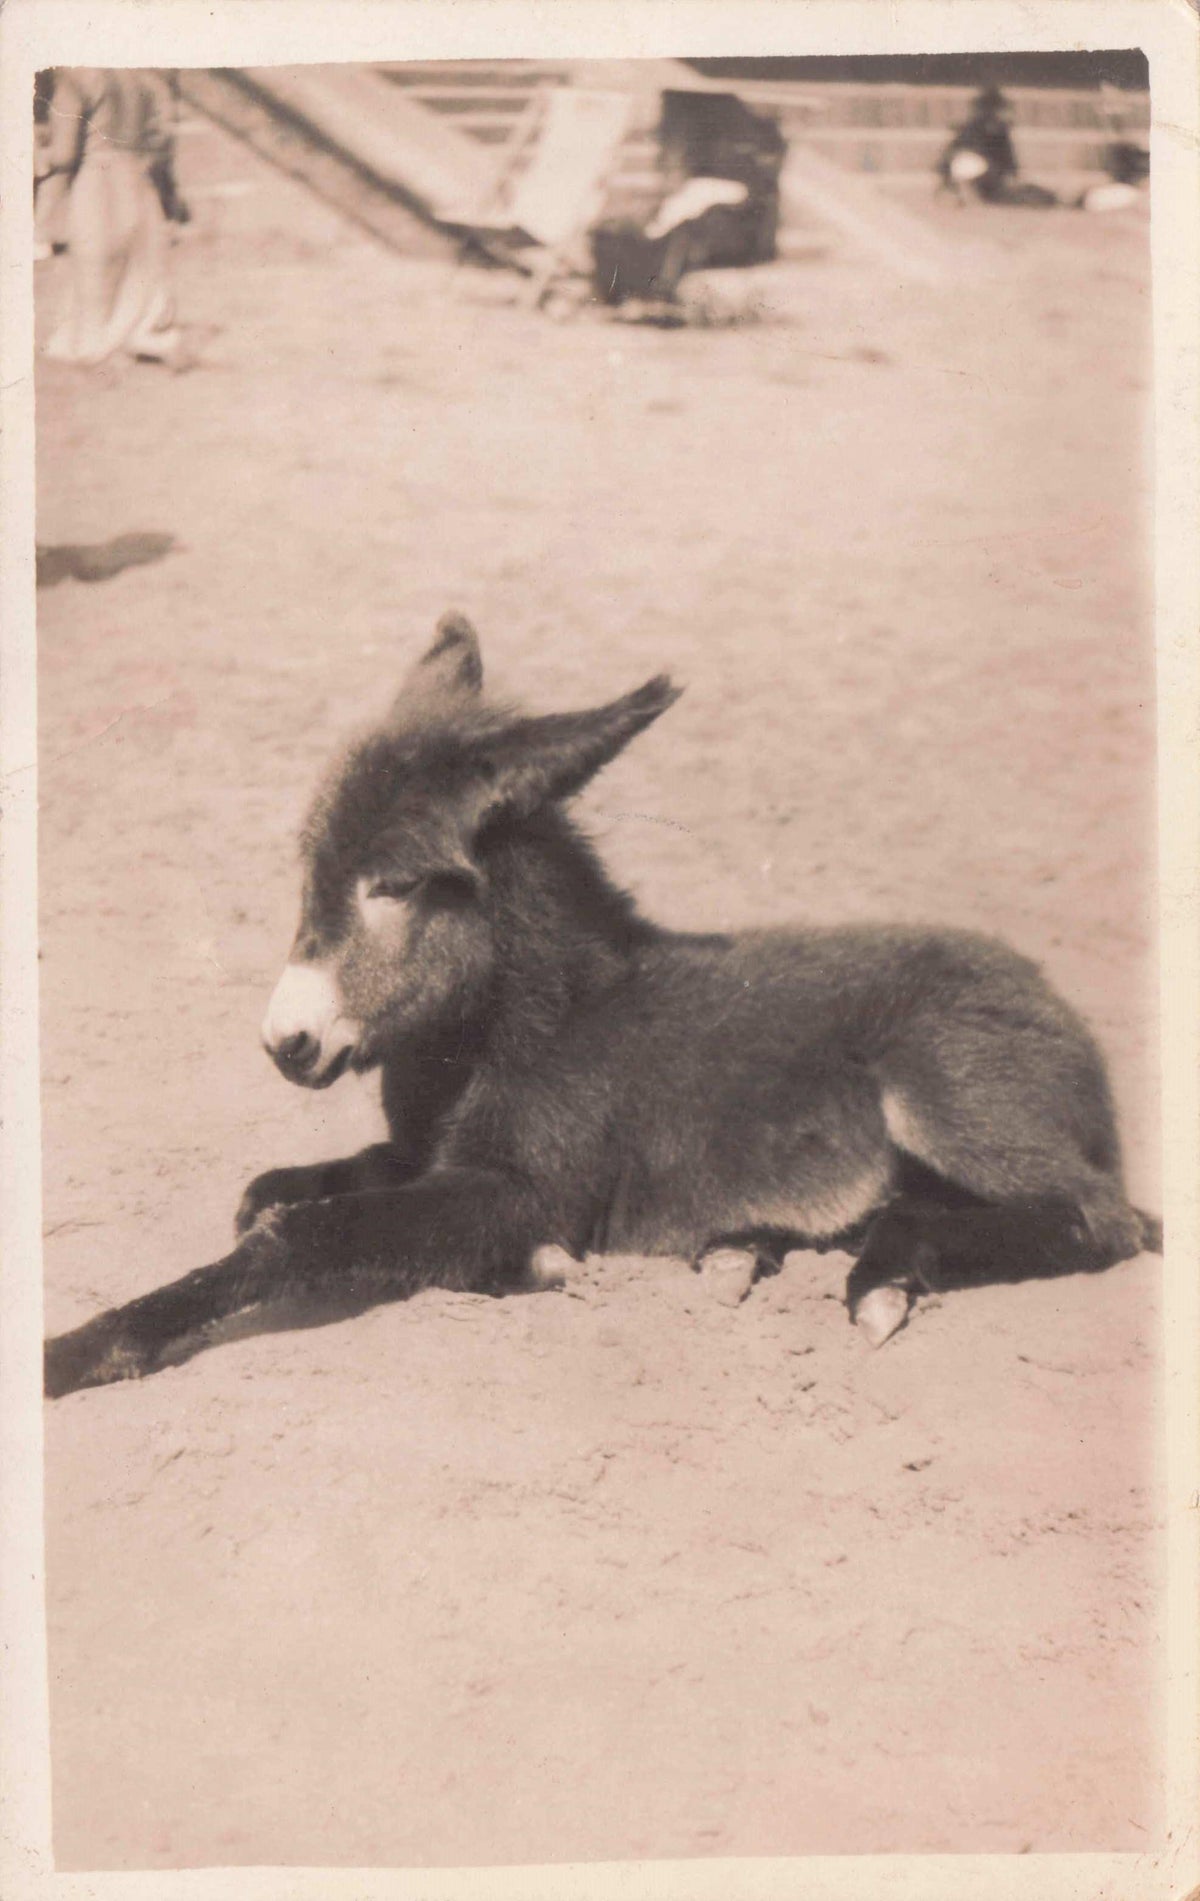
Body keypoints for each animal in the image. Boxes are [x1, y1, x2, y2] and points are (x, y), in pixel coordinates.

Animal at [44, 613, 1159, 1398]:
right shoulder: (427, 1154)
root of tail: (1054, 1002)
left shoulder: (523, 1187)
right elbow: (289, 1192)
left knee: (1104, 1217)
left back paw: (878, 1272)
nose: (287, 1042)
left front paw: (83, 1347)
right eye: (308, 872)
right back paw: (772, 1248)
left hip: (944, 1091)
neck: (508, 1029)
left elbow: (295, 1237)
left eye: (394, 884)